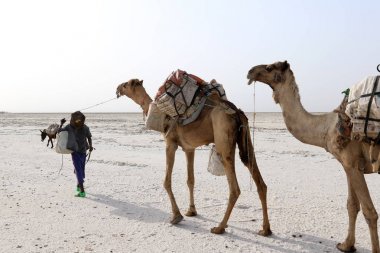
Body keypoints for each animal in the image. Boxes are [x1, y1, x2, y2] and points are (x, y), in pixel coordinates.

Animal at [114, 77, 272, 235]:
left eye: (126, 84)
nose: (118, 88)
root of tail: (237, 112)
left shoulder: (170, 143)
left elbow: (166, 181)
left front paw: (176, 216)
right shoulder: (189, 149)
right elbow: (190, 180)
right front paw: (191, 211)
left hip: (224, 140)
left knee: (234, 188)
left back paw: (220, 227)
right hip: (245, 139)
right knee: (259, 180)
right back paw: (265, 229)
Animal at [248, 60, 378, 252]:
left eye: (269, 68)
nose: (250, 72)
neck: (326, 128)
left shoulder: (351, 162)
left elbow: (370, 212)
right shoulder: (349, 164)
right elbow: (352, 205)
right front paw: (346, 245)